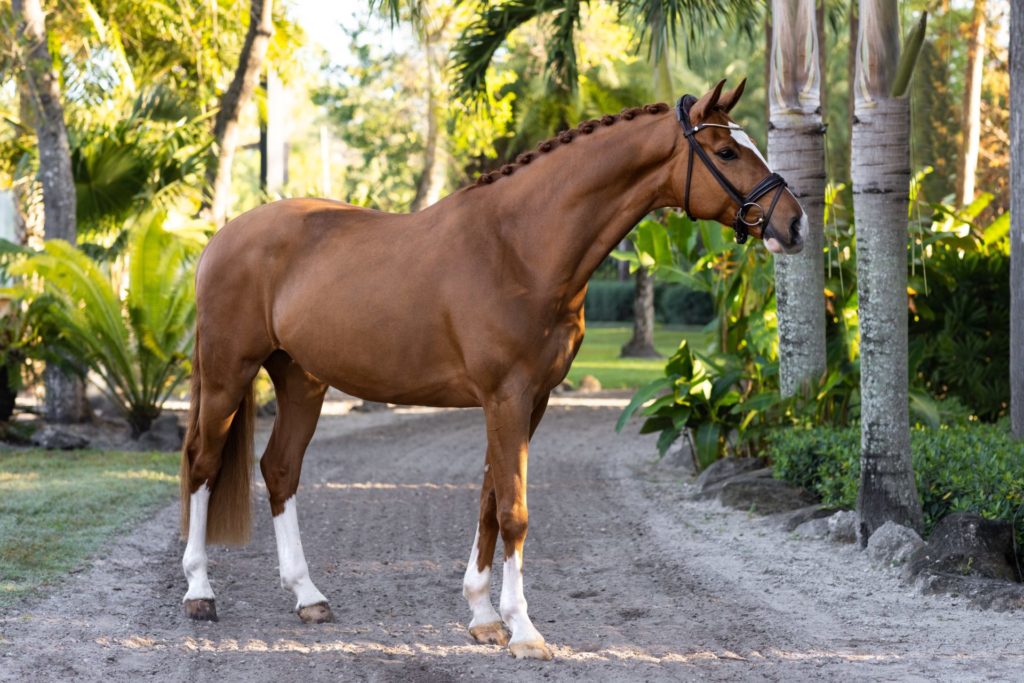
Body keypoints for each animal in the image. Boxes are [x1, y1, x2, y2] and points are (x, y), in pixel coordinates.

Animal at [180, 77, 802, 659]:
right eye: (726, 151)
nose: (794, 224)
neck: (520, 246)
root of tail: (223, 236)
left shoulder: (530, 399)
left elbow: (488, 503)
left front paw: (482, 617)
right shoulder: (506, 396)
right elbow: (513, 511)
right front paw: (523, 630)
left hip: (301, 380)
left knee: (280, 469)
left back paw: (308, 597)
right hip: (228, 374)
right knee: (202, 464)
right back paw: (199, 593)